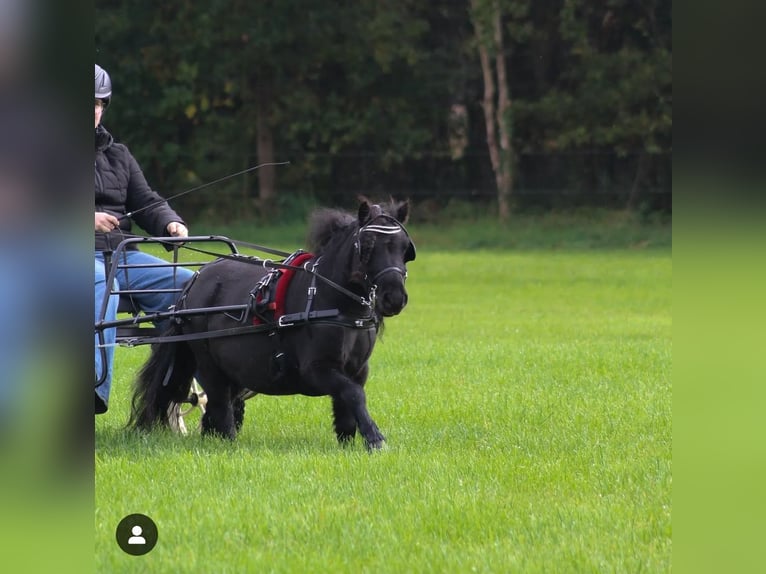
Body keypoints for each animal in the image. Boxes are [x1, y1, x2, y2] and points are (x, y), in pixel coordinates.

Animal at [133, 200, 420, 452]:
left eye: (405, 248)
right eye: (368, 246)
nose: (394, 298)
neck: (332, 301)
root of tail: (193, 283)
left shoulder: (358, 369)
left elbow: (346, 408)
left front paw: (350, 444)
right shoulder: (316, 370)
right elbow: (353, 395)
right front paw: (376, 440)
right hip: (209, 364)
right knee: (221, 404)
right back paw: (228, 443)